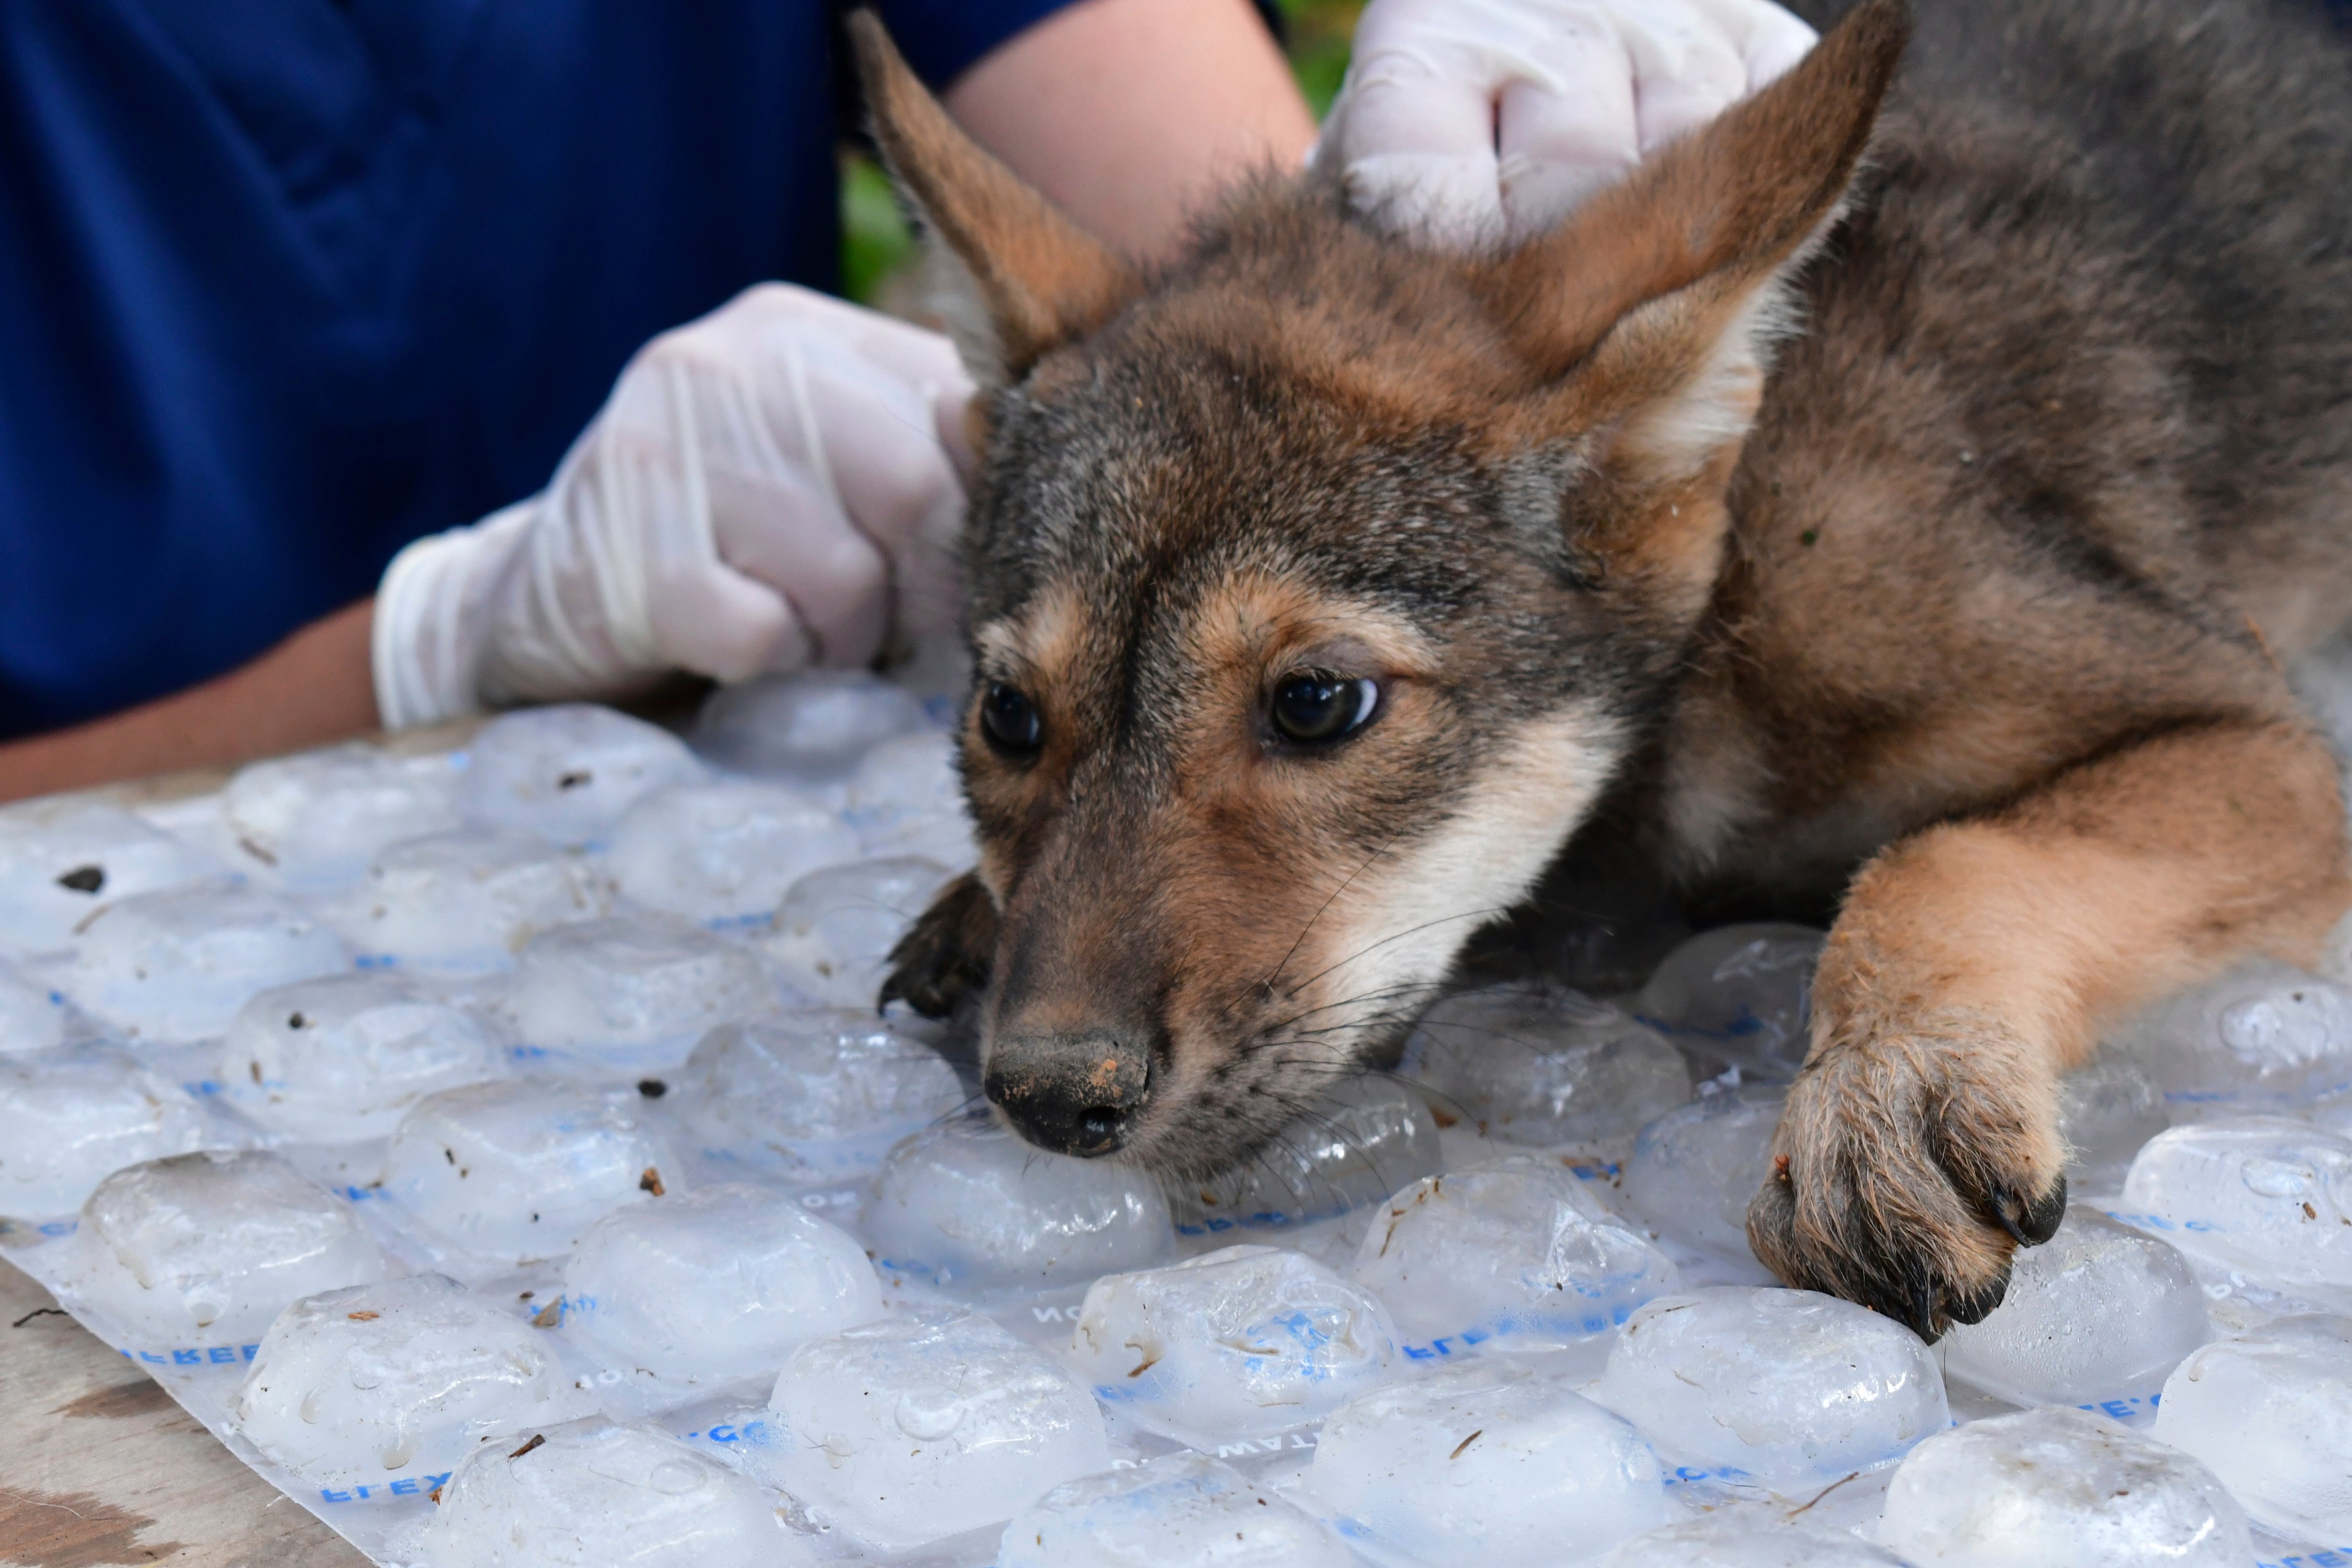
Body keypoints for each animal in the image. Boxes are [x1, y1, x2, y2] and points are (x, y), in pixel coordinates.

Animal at [854, 0, 2352, 1339]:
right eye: (1007, 717)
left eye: (1318, 703)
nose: (1049, 1098)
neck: (1738, 573)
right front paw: (976, 903)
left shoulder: (2253, 738)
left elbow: (1945, 860)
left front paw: (1888, 1084)